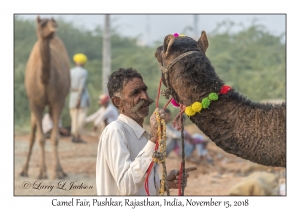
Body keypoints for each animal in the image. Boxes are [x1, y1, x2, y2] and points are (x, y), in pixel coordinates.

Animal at [20, 16, 71, 179]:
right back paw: (23, 170)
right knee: (31, 137)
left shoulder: (58, 102)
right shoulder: (35, 103)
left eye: (52, 20)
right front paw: (42, 172)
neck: (44, 81)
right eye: (42, 23)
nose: (54, 25)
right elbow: (41, 138)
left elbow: (55, 138)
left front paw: (57, 172)